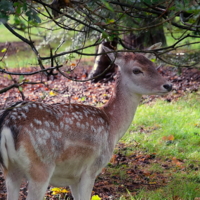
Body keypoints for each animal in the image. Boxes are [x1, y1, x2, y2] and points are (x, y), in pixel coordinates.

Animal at [0, 45, 172, 200]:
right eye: (137, 70)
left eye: (153, 65)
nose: (168, 85)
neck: (112, 124)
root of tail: (7, 123)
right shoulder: (91, 169)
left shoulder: (73, 176)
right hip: (41, 167)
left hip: (10, 170)